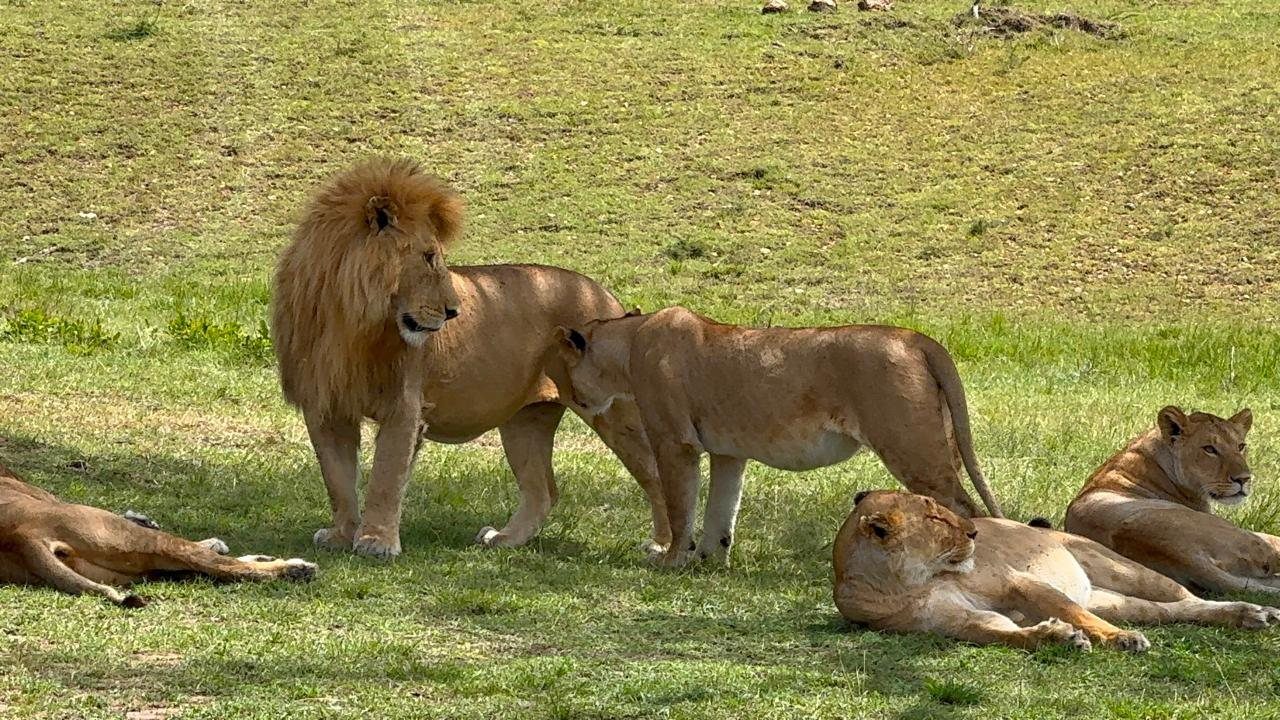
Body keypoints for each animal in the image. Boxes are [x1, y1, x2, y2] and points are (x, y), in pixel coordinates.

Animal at [0, 462, 315, 607]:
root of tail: (19, 535)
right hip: (133, 540)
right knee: (220, 565)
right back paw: (295, 569)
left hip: (131, 569)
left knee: (203, 569)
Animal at [271, 157, 669, 558]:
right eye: (429, 258)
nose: (453, 312)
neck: (349, 322)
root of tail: (606, 296)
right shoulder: (324, 406)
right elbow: (337, 478)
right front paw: (341, 535)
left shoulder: (405, 405)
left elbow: (385, 475)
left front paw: (376, 542)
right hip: (525, 420)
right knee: (543, 491)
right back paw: (505, 539)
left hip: (615, 413)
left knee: (654, 473)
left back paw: (662, 546)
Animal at [552, 306, 1002, 567]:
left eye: (565, 367)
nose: (569, 396)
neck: (630, 342)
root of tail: (918, 338)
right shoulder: (728, 452)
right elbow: (722, 509)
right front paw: (711, 560)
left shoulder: (675, 442)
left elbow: (680, 506)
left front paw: (672, 559)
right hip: (940, 444)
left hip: (912, 449)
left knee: (965, 509)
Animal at [833, 490, 1280, 652]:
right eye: (936, 519)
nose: (975, 531)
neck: (911, 582)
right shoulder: (953, 622)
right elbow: (1000, 632)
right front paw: (1055, 638)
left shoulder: (1019, 581)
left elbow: (1070, 610)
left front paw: (1116, 639)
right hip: (1116, 600)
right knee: (1171, 612)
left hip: (1126, 571)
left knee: (1192, 598)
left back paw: (1252, 612)